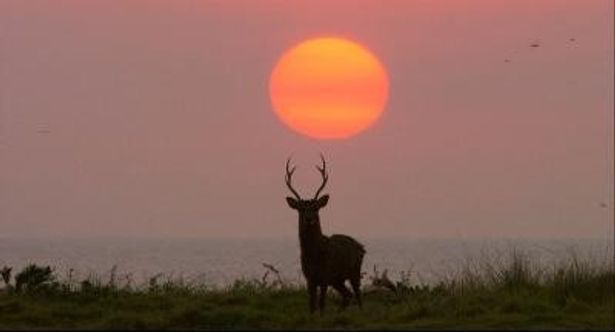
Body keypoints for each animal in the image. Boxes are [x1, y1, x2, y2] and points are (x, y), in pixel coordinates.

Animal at [286, 154, 366, 312]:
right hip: (337, 279)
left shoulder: (324, 276)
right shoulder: (309, 278)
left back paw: (360, 311)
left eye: (316, 208)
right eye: (301, 209)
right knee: (347, 295)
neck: (314, 256)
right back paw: (340, 312)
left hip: (354, 270)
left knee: (358, 295)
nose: (309, 219)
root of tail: (362, 248)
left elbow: (322, 305)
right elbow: (311, 306)